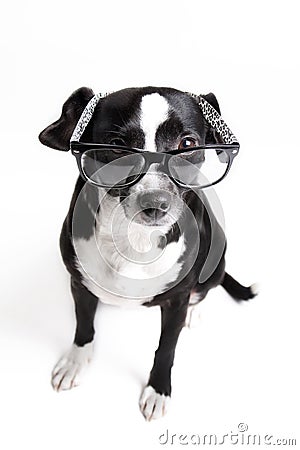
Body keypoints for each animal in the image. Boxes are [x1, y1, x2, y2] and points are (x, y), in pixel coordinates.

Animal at [38, 85, 256, 422]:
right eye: (117, 146)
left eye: (187, 144)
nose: (155, 203)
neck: (134, 239)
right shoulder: (80, 285)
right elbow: (83, 326)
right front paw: (76, 361)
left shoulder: (176, 302)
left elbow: (167, 347)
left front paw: (158, 390)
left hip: (217, 261)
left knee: (208, 287)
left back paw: (197, 309)